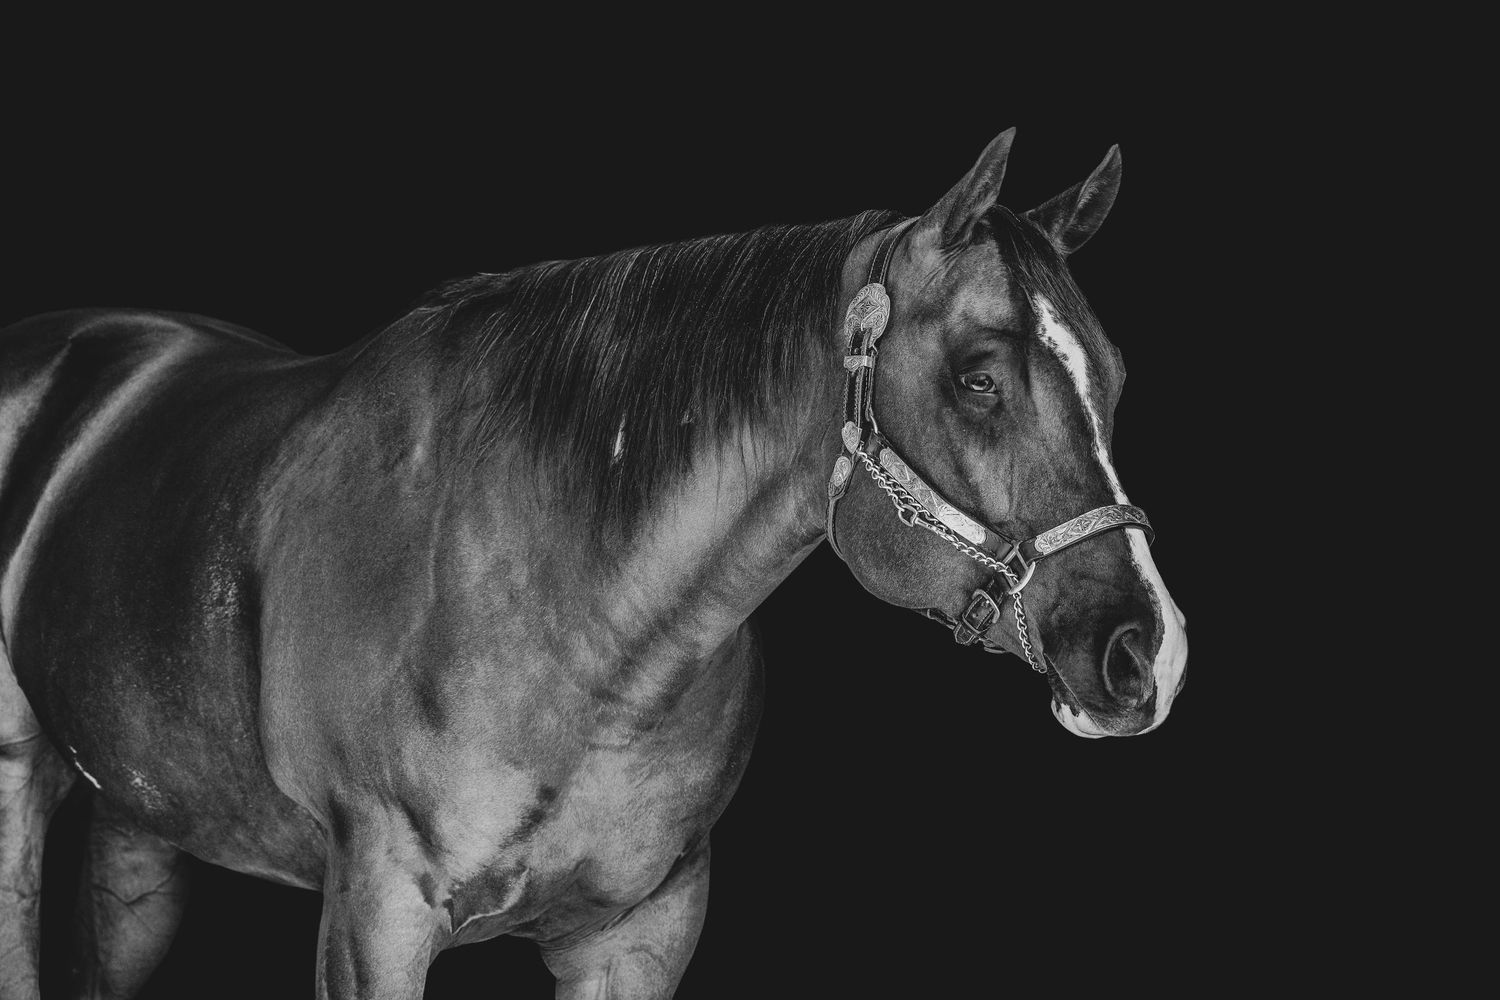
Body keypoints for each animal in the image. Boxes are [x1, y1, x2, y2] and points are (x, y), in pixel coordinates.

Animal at [0, 127, 1187, 999]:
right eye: (978, 376)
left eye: (1116, 374)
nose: (1146, 653)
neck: (573, 627)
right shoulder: (374, 918)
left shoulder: (639, 933)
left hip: (143, 820)